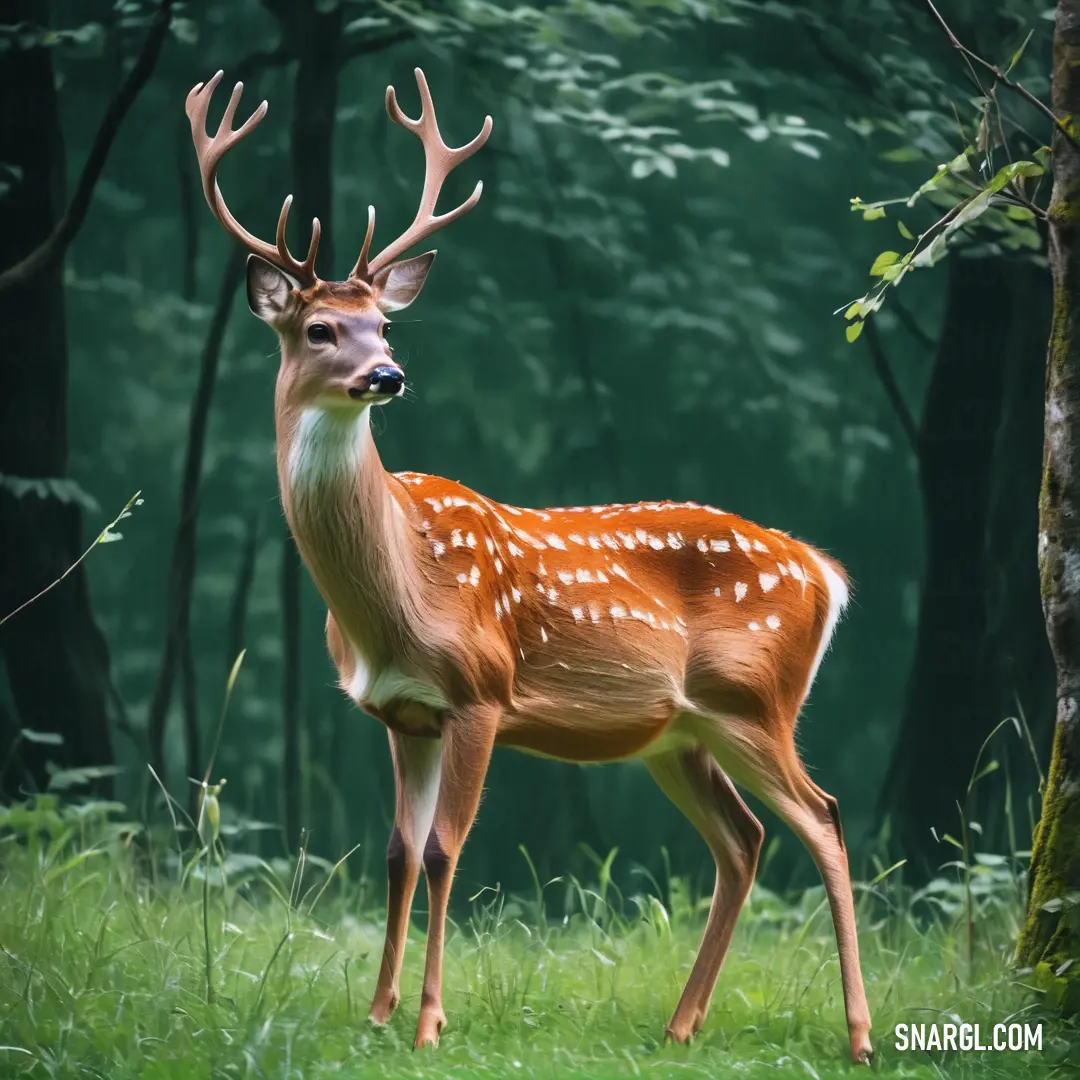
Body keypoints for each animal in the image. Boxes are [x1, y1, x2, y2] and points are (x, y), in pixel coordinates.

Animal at [185, 65, 872, 1062]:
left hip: (755, 701)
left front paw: (429, 1022)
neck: (396, 591)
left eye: (385, 324)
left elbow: (444, 852)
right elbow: (396, 853)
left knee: (823, 818)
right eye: (320, 329)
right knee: (742, 841)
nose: (387, 374)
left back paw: (857, 1035)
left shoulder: (481, 690)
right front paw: (378, 1013)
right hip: (679, 733)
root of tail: (827, 571)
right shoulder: (400, 713)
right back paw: (680, 1026)